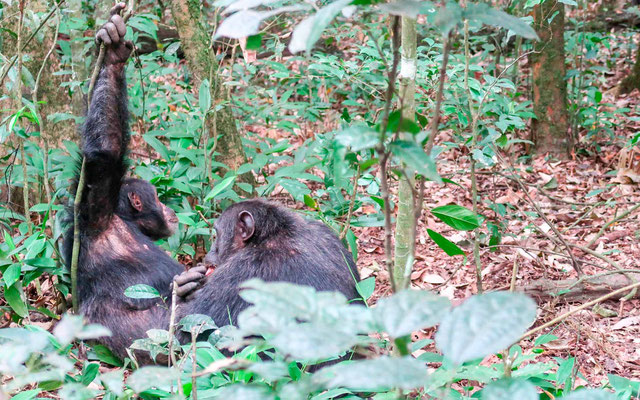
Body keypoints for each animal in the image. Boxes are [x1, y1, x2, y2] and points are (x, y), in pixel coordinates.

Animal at [178, 199, 362, 328]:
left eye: (216, 234)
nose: (209, 252)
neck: (266, 238)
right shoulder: (326, 233)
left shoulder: (243, 274)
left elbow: (190, 322)